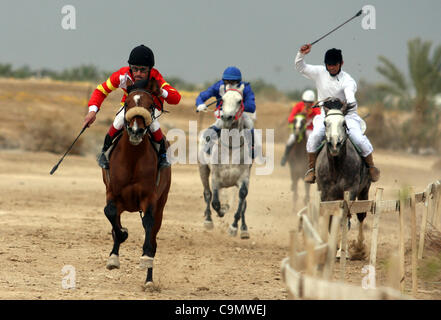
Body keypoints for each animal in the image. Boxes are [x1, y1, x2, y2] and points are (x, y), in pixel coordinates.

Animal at [102, 79, 171, 288]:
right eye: (127, 104)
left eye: (150, 105)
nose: (135, 131)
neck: (132, 158)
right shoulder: (113, 193)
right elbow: (110, 214)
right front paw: (115, 254)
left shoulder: (149, 198)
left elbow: (148, 226)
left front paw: (146, 259)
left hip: (161, 204)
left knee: (153, 239)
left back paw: (149, 280)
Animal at [198, 84, 253, 239]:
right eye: (222, 99)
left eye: (240, 101)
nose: (226, 117)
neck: (230, 148)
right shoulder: (215, 177)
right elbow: (215, 202)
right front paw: (221, 210)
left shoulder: (244, 177)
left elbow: (242, 199)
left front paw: (234, 227)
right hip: (203, 169)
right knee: (207, 194)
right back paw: (208, 220)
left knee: (243, 203)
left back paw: (244, 229)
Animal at [314, 98, 370, 260]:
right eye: (325, 123)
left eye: (344, 123)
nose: (334, 144)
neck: (336, 168)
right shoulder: (325, 194)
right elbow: (330, 219)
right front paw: (332, 248)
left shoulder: (350, 191)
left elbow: (345, 217)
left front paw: (341, 251)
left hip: (364, 189)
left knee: (361, 215)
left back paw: (359, 247)